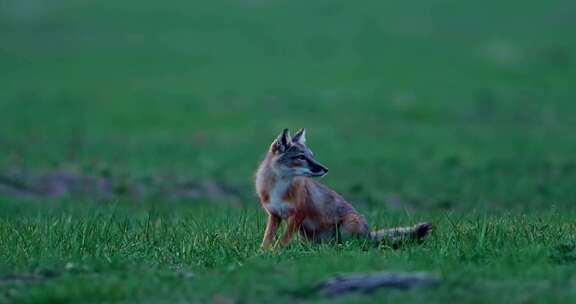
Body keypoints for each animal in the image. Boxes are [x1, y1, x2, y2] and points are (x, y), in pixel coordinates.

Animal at [254, 127, 430, 248]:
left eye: (312, 156)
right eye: (301, 157)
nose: (325, 169)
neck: (278, 188)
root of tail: (368, 233)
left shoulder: (299, 214)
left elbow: (282, 239)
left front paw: (275, 251)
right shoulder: (274, 215)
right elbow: (267, 238)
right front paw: (263, 252)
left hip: (346, 226)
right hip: (307, 234)